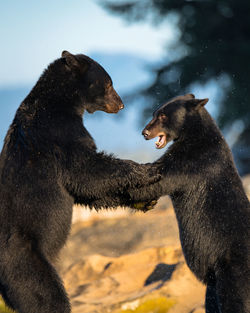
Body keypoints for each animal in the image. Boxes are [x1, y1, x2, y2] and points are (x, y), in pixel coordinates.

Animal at [0, 51, 159, 312]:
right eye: (109, 83)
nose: (121, 104)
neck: (62, 101)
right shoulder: (59, 135)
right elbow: (86, 170)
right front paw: (147, 170)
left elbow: (89, 191)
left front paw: (144, 200)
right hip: (23, 260)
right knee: (45, 296)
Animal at [129, 93, 250, 312]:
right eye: (154, 113)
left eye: (163, 116)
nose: (145, 132)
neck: (196, 134)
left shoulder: (194, 160)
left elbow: (161, 175)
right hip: (215, 280)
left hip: (233, 268)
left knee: (234, 299)